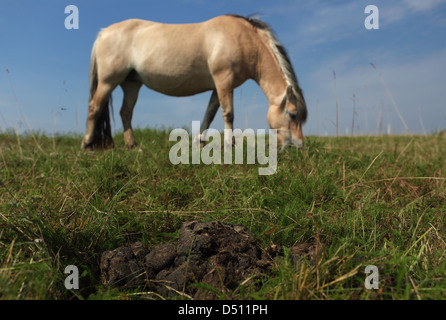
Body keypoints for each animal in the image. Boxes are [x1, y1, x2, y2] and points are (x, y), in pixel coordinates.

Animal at [81, 13, 306, 150]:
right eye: (292, 114)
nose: (298, 145)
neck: (242, 37)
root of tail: (104, 32)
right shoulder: (224, 79)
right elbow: (228, 113)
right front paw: (230, 144)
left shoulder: (219, 86)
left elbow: (210, 113)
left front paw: (200, 142)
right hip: (108, 81)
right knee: (94, 107)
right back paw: (87, 144)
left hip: (131, 84)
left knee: (125, 112)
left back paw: (133, 146)